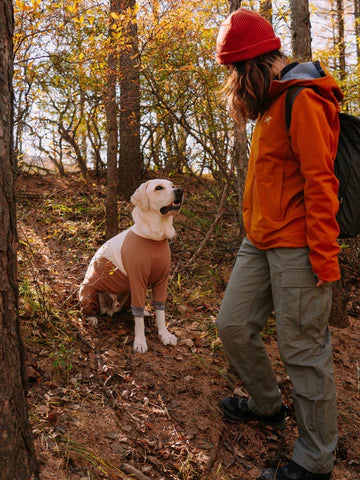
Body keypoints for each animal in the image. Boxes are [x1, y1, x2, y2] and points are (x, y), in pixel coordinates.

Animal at [79, 180, 183, 352]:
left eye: (173, 185)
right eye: (159, 188)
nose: (180, 190)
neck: (154, 237)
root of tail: (110, 309)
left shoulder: (162, 280)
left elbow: (160, 311)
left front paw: (165, 335)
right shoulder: (137, 279)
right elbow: (138, 319)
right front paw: (140, 341)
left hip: (128, 293)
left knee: (132, 308)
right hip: (88, 293)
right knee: (89, 310)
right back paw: (92, 318)